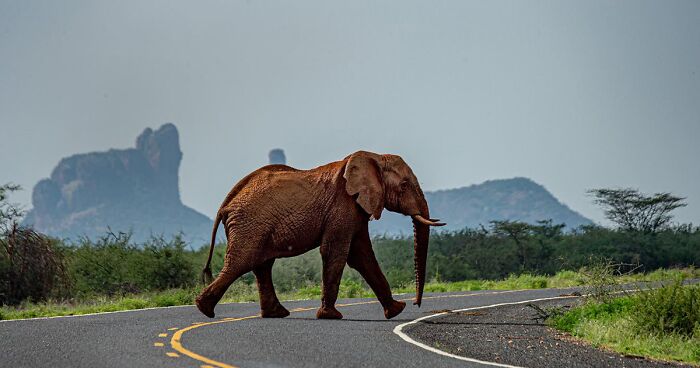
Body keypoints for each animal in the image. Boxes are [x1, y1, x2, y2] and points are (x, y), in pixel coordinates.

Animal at [194, 150, 446, 320]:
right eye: (404, 186)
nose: (415, 304)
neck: (373, 156)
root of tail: (226, 204)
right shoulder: (342, 205)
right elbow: (337, 252)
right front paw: (331, 316)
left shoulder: (355, 209)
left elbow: (362, 256)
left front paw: (395, 311)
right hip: (250, 224)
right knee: (241, 262)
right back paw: (204, 310)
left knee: (261, 265)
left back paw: (276, 314)